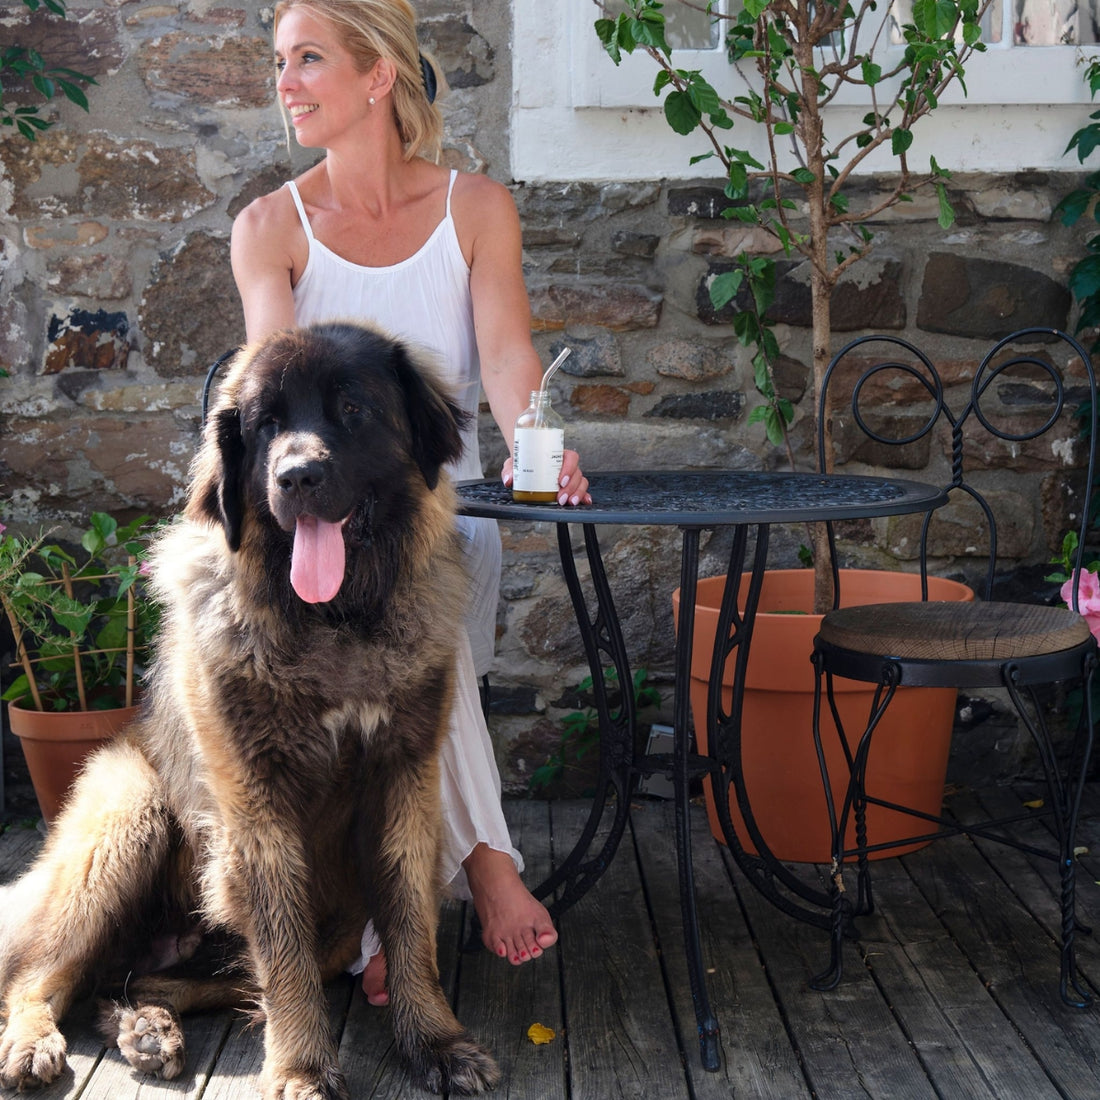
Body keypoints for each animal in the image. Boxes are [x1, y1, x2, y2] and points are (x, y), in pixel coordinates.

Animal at [0, 322, 501, 1098]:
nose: (296, 477)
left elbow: (410, 922)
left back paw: (146, 1028)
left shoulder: (402, 786)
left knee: (140, 981)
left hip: (331, 918)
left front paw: (436, 1042)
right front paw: (300, 1069)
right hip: (123, 824)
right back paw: (35, 1040)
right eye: (266, 425)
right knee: (39, 973)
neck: (333, 622)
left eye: (352, 409)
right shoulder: (256, 806)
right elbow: (282, 949)